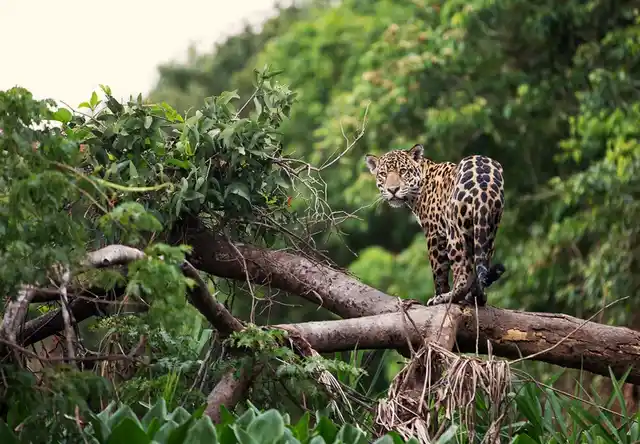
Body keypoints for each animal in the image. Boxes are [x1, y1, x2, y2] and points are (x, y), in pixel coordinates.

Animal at [364, 143, 506, 307]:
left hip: (455, 233)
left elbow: (438, 271)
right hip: (488, 229)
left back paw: (449, 297)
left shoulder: (434, 233)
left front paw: (439, 294)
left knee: (463, 271)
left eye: (403, 171)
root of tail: (483, 187)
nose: (392, 190)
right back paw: (478, 296)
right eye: (383, 174)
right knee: (481, 261)